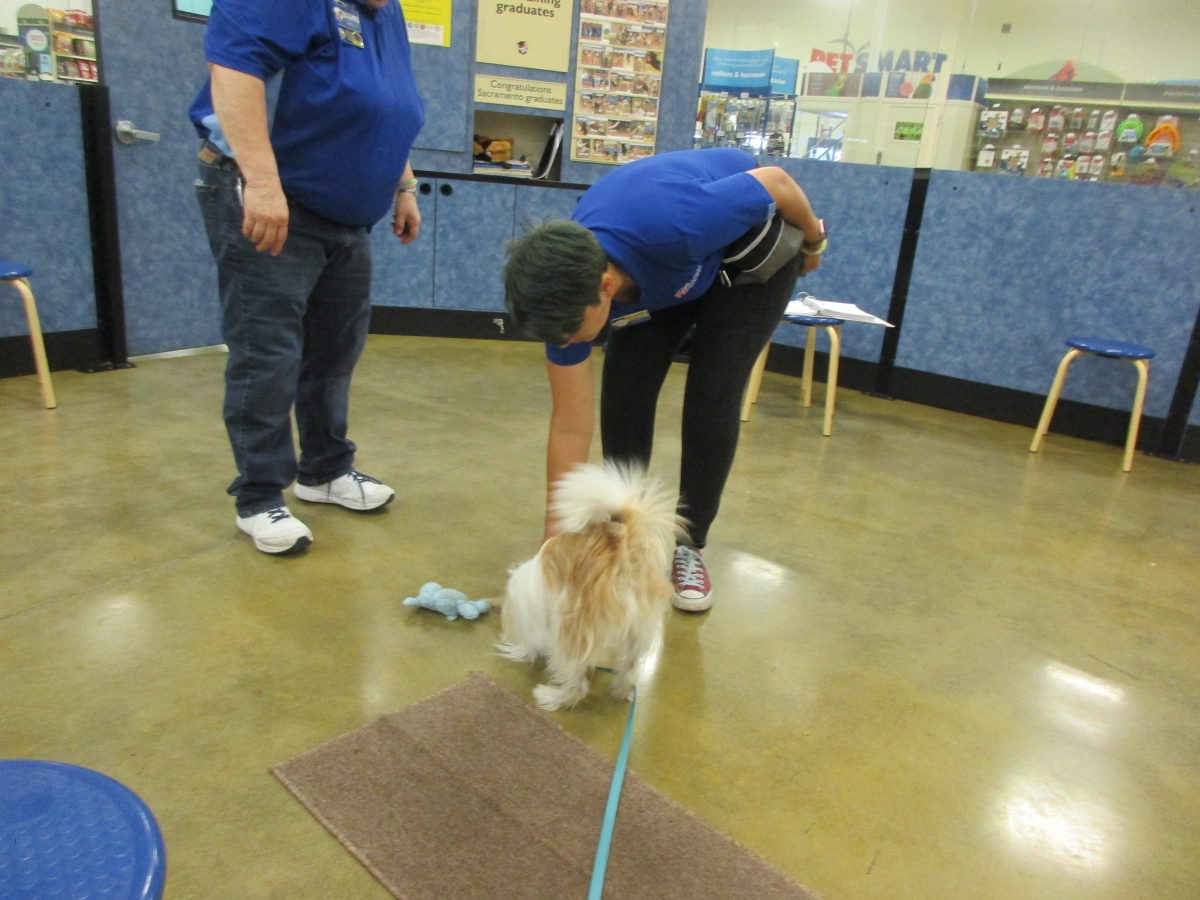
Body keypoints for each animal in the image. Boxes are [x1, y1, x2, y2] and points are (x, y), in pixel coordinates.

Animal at [498, 462, 682, 710]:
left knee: (577, 685)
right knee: (631, 671)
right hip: (639, 632)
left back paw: (552, 696)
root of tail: (624, 557)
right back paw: (622, 691)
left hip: (569, 636)